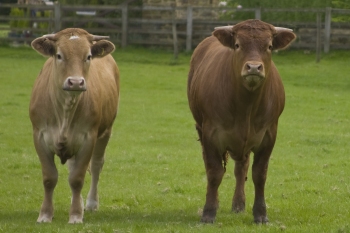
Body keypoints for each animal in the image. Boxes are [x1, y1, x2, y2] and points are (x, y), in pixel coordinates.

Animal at [29, 28, 119, 223]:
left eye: (88, 56)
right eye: (59, 55)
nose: (76, 82)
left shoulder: (88, 138)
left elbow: (77, 178)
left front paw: (76, 215)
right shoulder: (39, 136)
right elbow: (49, 178)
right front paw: (45, 215)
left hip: (106, 132)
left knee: (96, 165)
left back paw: (91, 203)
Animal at [189, 19, 296, 223]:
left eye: (269, 46)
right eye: (238, 45)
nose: (253, 67)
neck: (246, 106)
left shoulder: (269, 134)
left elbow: (259, 174)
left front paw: (260, 214)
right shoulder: (211, 133)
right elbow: (214, 172)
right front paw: (209, 212)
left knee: (242, 168)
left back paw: (239, 203)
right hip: (201, 128)